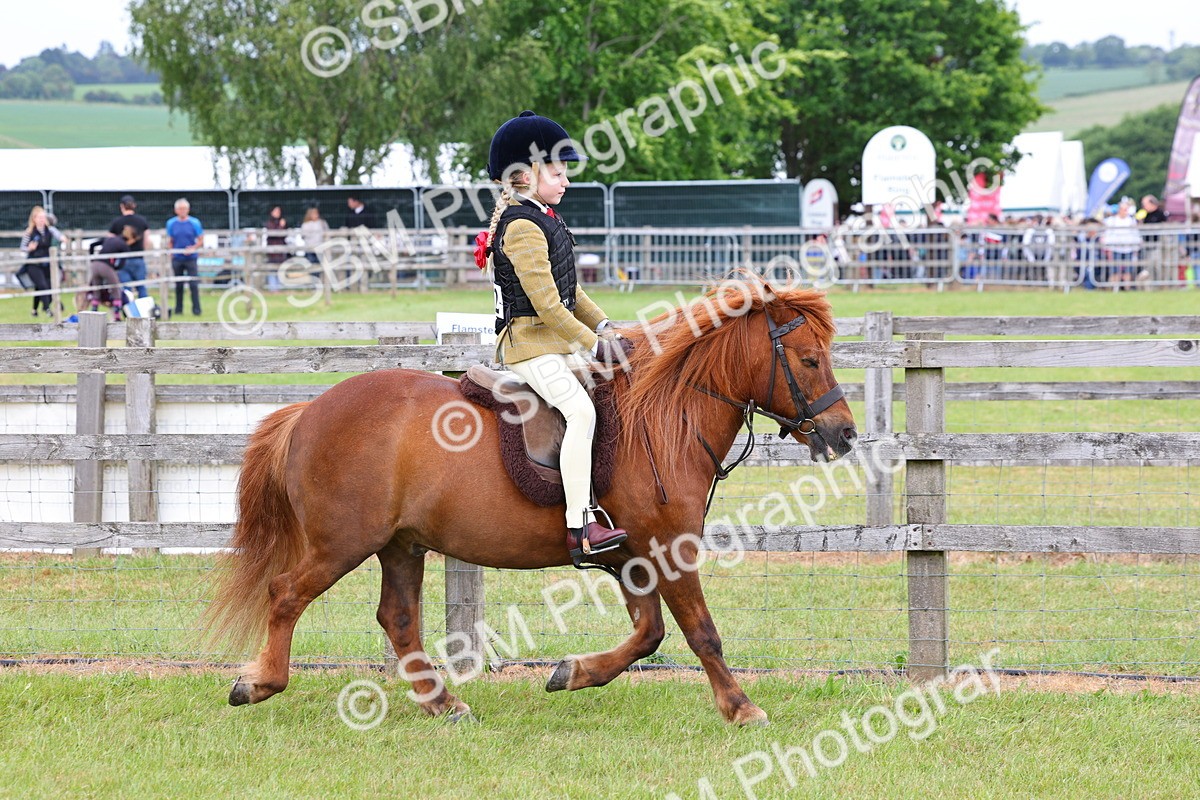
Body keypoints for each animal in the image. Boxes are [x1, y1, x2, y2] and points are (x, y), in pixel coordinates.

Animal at [205, 278, 857, 726]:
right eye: (809, 359)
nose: (845, 434)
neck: (665, 416)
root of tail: (309, 410)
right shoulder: (669, 550)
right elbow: (701, 633)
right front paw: (742, 707)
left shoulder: (632, 558)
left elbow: (649, 635)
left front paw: (573, 673)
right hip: (343, 542)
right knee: (286, 594)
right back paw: (259, 683)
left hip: (400, 545)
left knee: (398, 619)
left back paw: (443, 703)